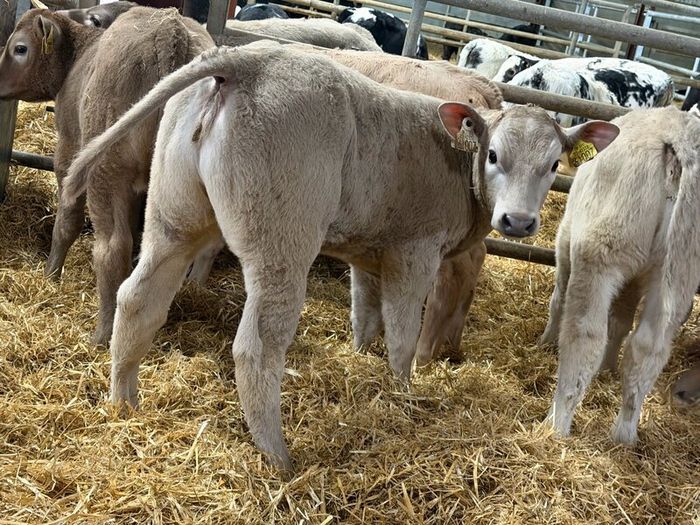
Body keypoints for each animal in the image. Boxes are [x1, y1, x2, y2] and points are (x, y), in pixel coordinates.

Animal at [0, 8, 214, 345]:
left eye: (20, 48)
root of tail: (171, 31)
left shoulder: (69, 152)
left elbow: (67, 221)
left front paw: (51, 275)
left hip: (105, 169)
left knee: (113, 248)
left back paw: (102, 335)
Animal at [63, 41, 618, 471]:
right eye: (495, 155)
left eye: (554, 164)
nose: (517, 223)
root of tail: (246, 60)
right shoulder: (414, 254)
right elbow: (401, 333)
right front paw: (402, 391)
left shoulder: (368, 254)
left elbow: (365, 316)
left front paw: (360, 359)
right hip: (282, 244)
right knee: (256, 346)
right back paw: (279, 458)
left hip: (173, 218)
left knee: (139, 299)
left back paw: (125, 402)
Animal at [540, 106, 700, 444]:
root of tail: (679, 137)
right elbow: (621, 321)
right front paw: (607, 368)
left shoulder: (565, 239)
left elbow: (558, 298)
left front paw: (545, 342)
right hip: (678, 271)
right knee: (648, 347)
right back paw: (624, 433)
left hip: (599, 255)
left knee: (585, 334)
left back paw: (556, 423)